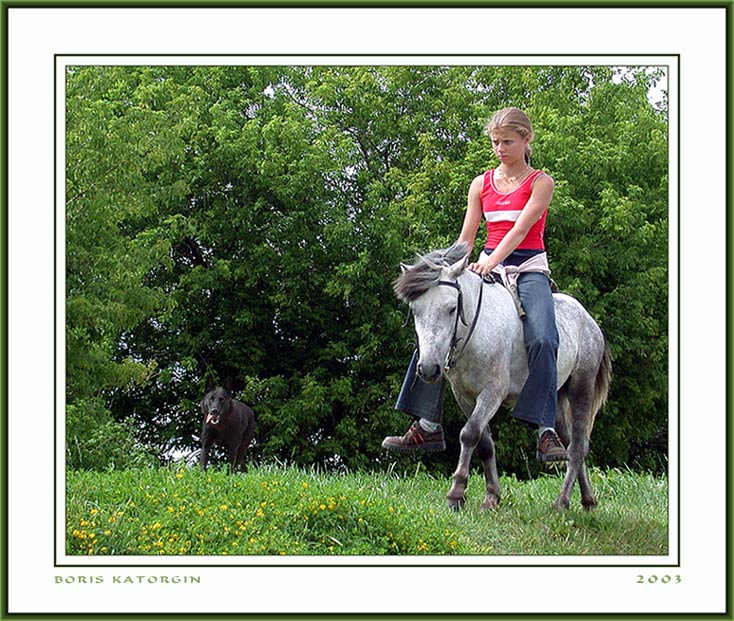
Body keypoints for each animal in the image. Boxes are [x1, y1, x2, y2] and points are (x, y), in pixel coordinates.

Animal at [400, 245, 612, 512]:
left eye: (451, 308)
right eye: (415, 310)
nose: (429, 369)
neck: (478, 331)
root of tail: (590, 322)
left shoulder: (493, 392)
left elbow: (469, 434)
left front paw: (456, 493)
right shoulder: (464, 396)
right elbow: (484, 443)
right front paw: (492, 496)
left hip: (581, 387)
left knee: (577, 447)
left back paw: (562, 501)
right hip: (560, 397)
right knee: (573, 440)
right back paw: (588, 499)